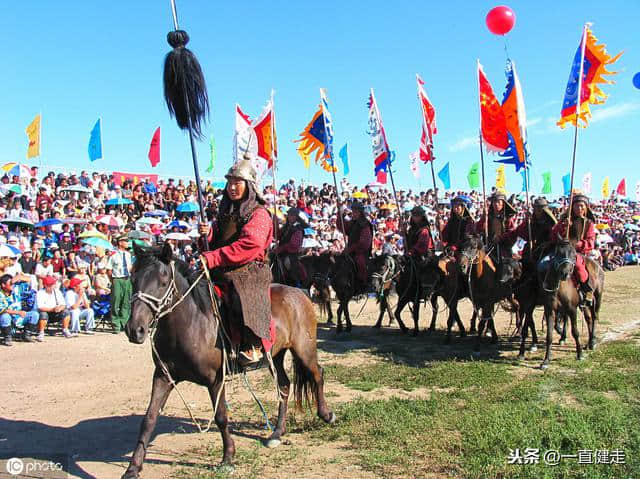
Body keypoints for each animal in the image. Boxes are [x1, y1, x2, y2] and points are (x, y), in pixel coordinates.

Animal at [122, 246, 338, 478]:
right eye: (133, 279)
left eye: (163, 282)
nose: (135, 330)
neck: (190, 323)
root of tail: (299, 293)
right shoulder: (163, 377)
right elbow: (149, 419)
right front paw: (133, 467)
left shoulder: (215, 380)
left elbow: (221, 417)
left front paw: (228, 457)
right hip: (275, 356)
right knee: (284, 386)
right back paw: (277, 433)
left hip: (304, 349)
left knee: (318, 375)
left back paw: (327, 415)